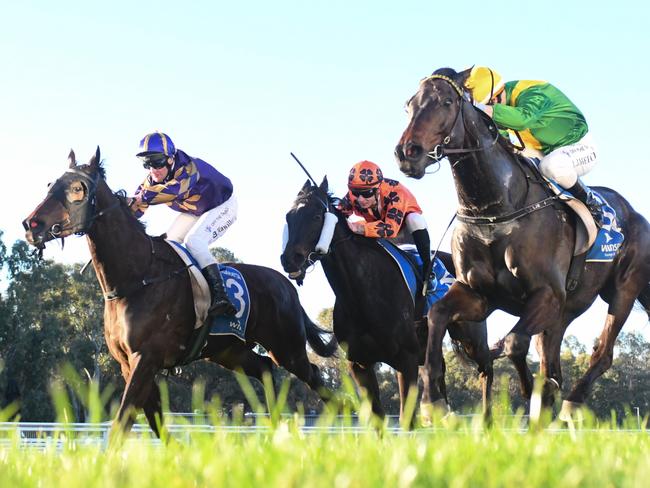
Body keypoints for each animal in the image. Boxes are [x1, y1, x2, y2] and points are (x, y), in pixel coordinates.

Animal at [21, 148, 334, 438]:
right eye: (50, 185)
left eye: (77, 189)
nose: (31, 225)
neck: (137, 277)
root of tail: (285, 284)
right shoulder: (128, 363)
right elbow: (154, 422)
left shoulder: (145, 358)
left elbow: (123, 422)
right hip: (230, 351)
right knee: (266, 369)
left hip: (288, 348)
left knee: (315, 376)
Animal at [278, 178, 492, 424]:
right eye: (289, 216)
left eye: (316, 216)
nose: (289, 259)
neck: (361, 296)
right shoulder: (360, 364)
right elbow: (378, 418)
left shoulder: (406, 360)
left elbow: (406, 418)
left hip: (471, 336)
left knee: (486, 367)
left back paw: (487, 420)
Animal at [392, 66, 648, 422]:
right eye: (409, 105)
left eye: (446, 102)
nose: (408, 153)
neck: (495, 211)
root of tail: (634, 213)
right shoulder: (480, 295)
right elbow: (437, 314)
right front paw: (433, 400)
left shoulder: (546, 293)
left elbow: (514, 343)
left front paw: (533, 391)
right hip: (564, 312)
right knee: (550, 357)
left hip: (624, 288)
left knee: (603, 352)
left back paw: (570, 403)